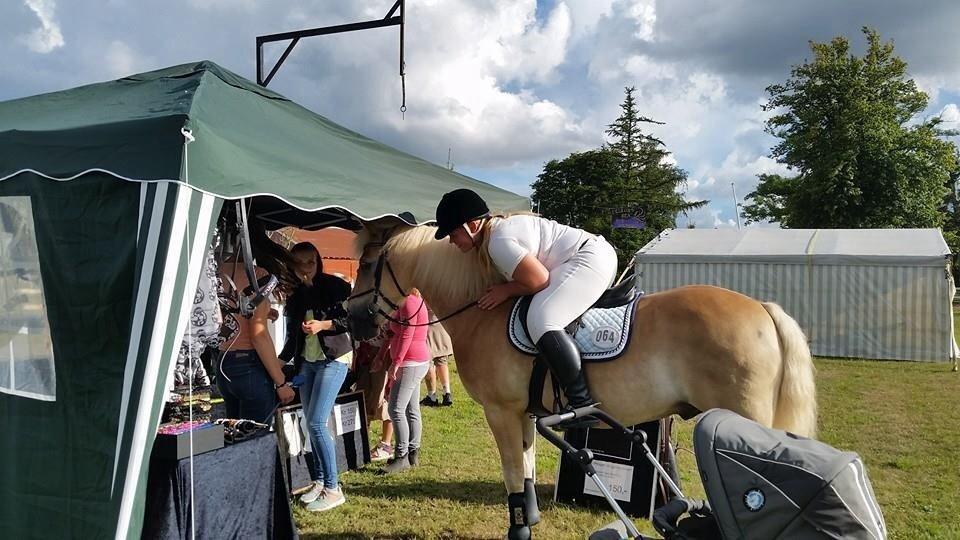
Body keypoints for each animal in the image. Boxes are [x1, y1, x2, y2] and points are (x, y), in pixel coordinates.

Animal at [346, 224, 816, 540]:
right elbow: (527, 469)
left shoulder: (501, 412)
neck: (481, 311)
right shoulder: (525, 414)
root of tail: (762, 308)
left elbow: (512, 474)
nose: (351, 320)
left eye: (368, 265)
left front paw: (519, 530)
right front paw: (531, 519)